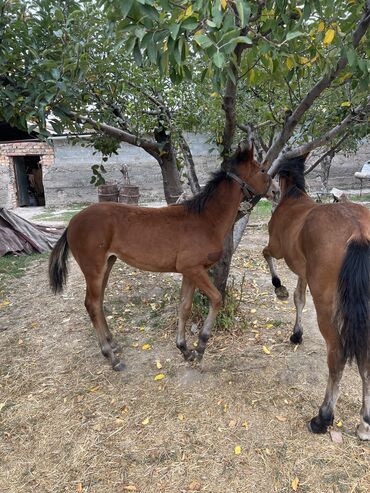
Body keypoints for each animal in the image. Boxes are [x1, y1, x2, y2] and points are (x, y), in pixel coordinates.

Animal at [49, 144, 276, 370]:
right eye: (262, 170)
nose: (276, 191)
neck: (206, 219)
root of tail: (72, 223)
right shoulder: (194, 269)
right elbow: (217, 299)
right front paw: (201, 347)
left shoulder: (189, 272)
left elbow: (184, 306)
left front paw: (185, 349)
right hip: (93, 269)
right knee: (92, 304)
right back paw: (112, 357)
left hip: (107, 264)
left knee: (98, 302)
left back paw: (113, 344)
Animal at [264, 155, 370, 438]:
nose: (272, 192)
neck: (293, 198)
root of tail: (358, 231)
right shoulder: (302, 271)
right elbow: (299, 298)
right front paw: (296, 334)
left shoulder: (276, 248)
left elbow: (266, 255)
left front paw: (278, 287)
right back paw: (364, 423)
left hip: (327, 308)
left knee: (338, 357)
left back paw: (323, 417)